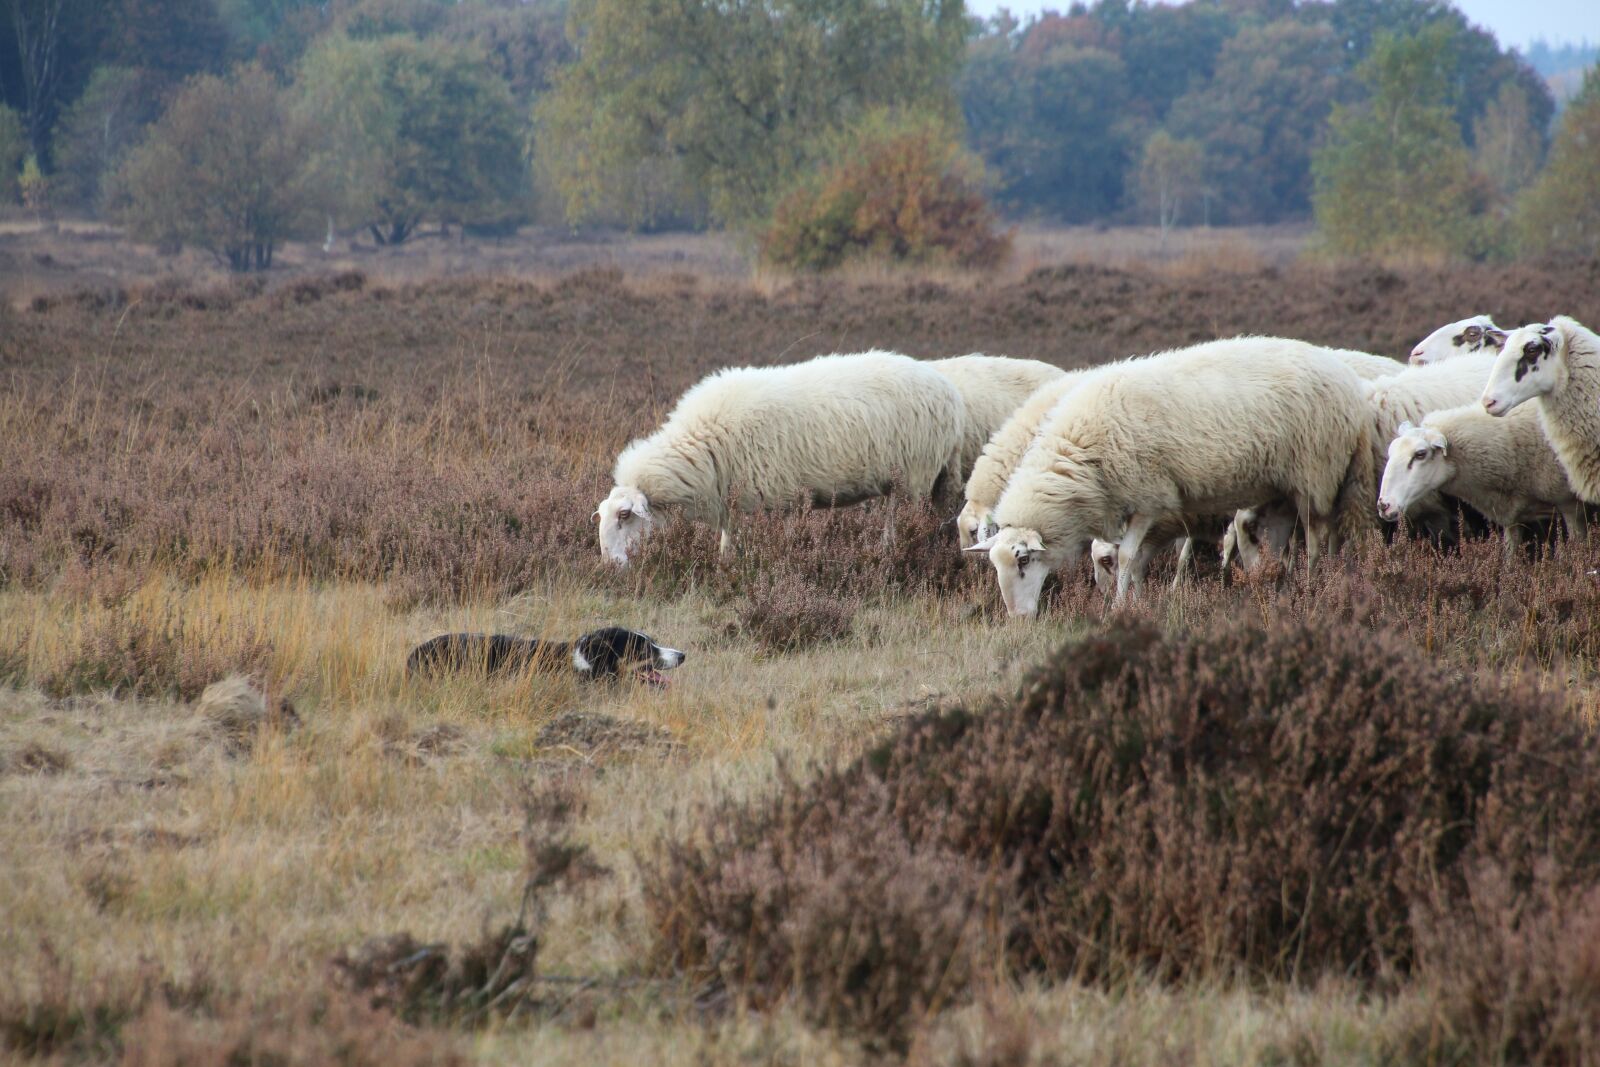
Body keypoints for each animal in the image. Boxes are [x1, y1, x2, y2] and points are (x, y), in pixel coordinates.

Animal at [595, 351, 965, 564]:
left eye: (624, 515)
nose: (609, 565)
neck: (705, 447)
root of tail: (948, 389)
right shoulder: (732, 503)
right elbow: (727, 545)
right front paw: (725, 569)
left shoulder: (783, 497)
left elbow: (785, 541)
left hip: (914, 476)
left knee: (900, 523)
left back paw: (892, 554)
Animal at [966, 337, 1374, 614]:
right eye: (995, 565)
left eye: (1023, 561)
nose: (1018, 618)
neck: (1081, 453)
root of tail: (1347, 378)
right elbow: (1136, 559)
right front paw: (1136, 600)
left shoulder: (1148, 498)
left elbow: (1128, 556)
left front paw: (1119, 607)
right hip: (1280, 488)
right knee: (1275, 541)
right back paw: (1271, 587)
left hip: (1316, 474)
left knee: (1318, 537)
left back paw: (1313, 585)